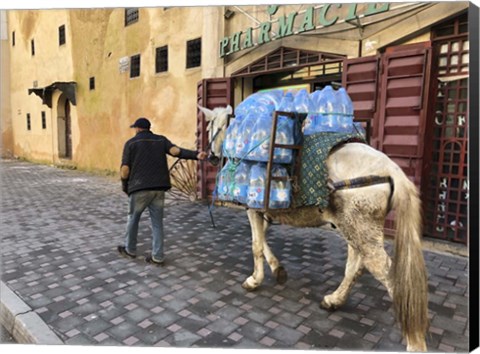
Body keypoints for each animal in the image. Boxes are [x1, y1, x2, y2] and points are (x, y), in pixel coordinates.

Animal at [197, 105, 430, 352]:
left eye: (210, 127)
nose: (210, 156)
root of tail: (391, 169)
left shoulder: (253, 209)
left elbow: (256, 245)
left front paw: (255, 279)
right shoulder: (266, 212)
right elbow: (264, 241)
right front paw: (278, 269)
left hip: (362, 232)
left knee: (389, 277)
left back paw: (414, 342)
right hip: (355, 229)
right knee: (355, 267)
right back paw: (334, 300)